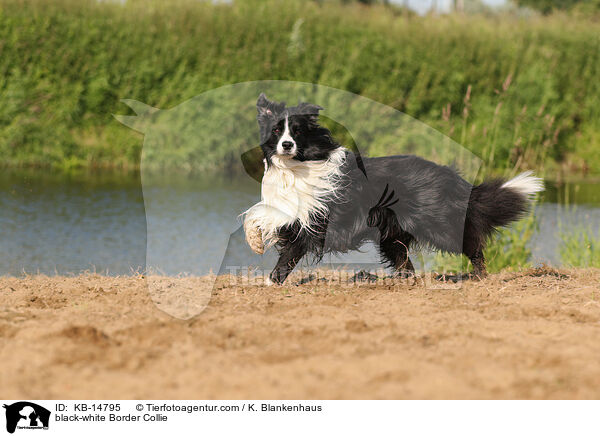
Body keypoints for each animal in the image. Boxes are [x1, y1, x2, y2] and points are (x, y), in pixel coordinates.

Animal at [243, 93, 544, 284]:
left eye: (297, 131)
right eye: (275, 130)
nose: (286, 145)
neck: (297, 166)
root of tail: (452, 178)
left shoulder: (312, 220)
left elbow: (288, 252)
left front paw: (272, 282)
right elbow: (256, 214)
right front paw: (255, 242)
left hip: (438, 225)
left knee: (471, 243)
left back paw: (481, 276)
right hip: (392, 234)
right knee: (405, 263)